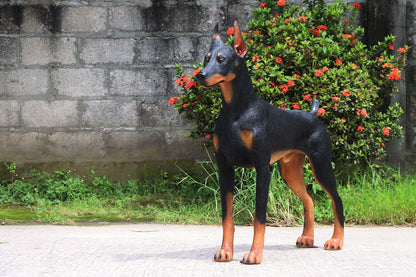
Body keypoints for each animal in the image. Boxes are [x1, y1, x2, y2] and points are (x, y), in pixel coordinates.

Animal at [195, 22, 344, 264]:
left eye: (221, 59)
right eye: (205, 58)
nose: (200, 75)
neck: (237, 111)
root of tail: (312, 114)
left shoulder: (262, 167)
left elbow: (260, 216)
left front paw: (254, 254)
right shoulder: (224, 166)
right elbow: (227, 216)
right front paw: (226, 251)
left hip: (321, 165)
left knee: (336, 199)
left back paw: (336, 240)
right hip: (290, 171)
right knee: (309, 199)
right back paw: (307, 238)